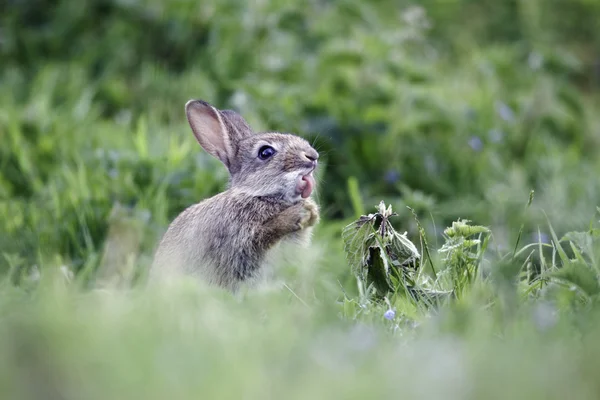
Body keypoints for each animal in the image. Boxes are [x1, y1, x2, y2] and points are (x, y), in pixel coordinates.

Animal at [149, 97, 318, 290]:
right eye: (266, 152)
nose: (313, 156)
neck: (257, 194)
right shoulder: (239, 240)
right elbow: (263, 237)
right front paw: (301, 213)